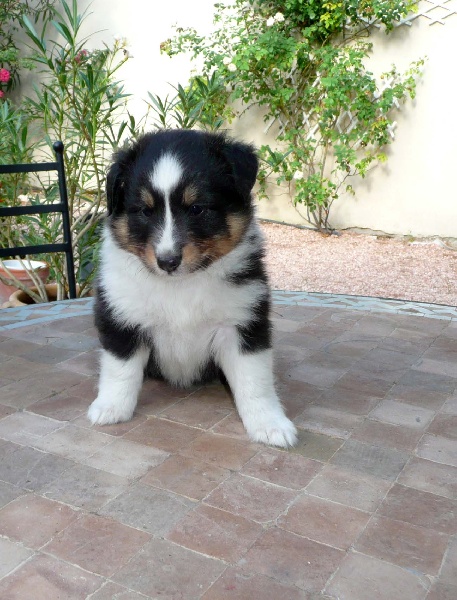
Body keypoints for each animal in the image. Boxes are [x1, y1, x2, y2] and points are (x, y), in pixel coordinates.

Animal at [87, 129, 297, 447]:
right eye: (145, 211)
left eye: (197, 209)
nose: (167, 261)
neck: (181, 286)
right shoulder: (122, 317)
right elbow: (120, 370)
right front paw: (110, 408)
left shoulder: (243, 322)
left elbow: (254, 380)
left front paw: (270, 425)